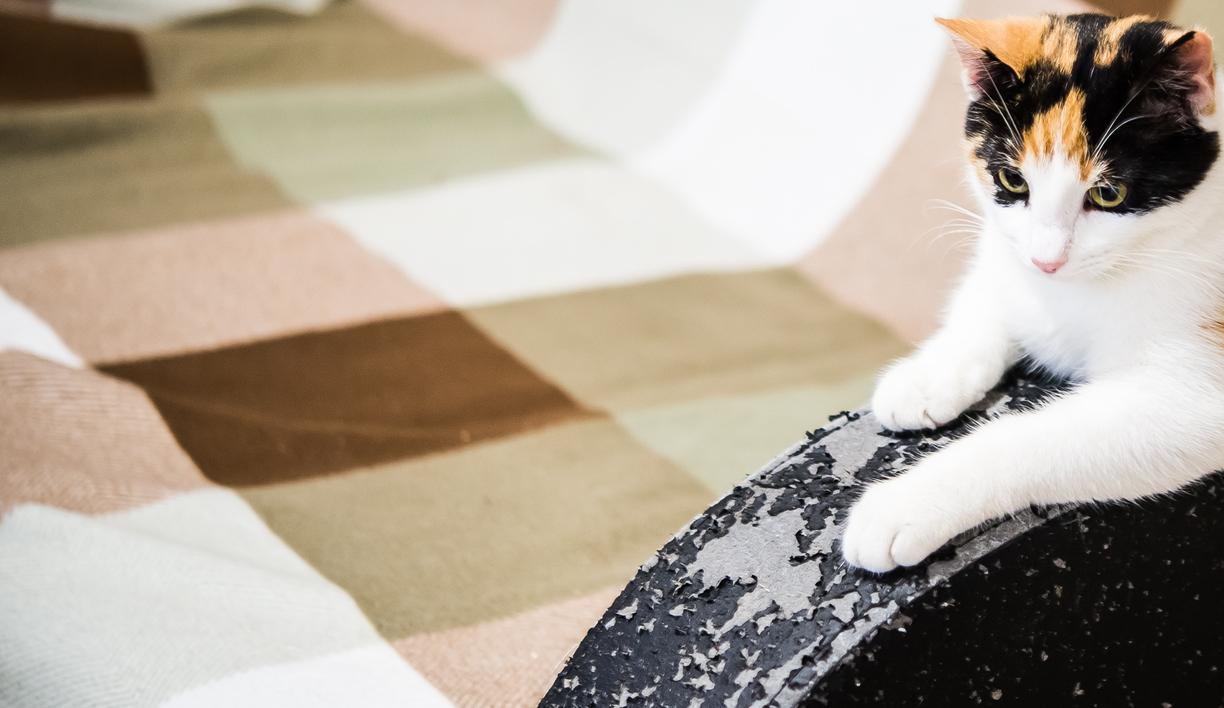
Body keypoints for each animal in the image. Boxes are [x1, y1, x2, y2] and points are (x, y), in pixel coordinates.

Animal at [842, 13, 1224, 570]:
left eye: (1108, 194)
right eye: (1012, 181)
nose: (1048, 260)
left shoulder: (1194, 398)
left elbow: (1030, 439)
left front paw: (904, 505)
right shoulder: (1003, 250)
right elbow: (989, 292)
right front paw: (928, 375)